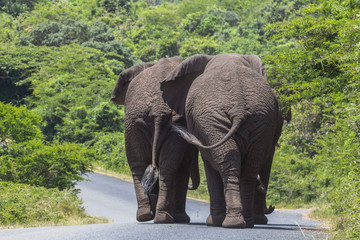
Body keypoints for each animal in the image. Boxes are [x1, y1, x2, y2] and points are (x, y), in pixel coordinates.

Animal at [109, 56, 200, 223]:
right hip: (143, 122)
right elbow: (184, 166)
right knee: (161, 166)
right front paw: (181, 218)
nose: (192, 185)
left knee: (143, 165)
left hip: (135, 123)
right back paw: (159, 217)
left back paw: (149, 216)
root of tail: (158, 109)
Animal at [158, 53, 284, 228]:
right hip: (260, 119)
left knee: (227, 164)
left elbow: (209, 166)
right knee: (250, 169)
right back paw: (245, 222)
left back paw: (230, 223)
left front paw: (214, 222)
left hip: (214, 121)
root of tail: (239, 107)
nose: (272, 206)